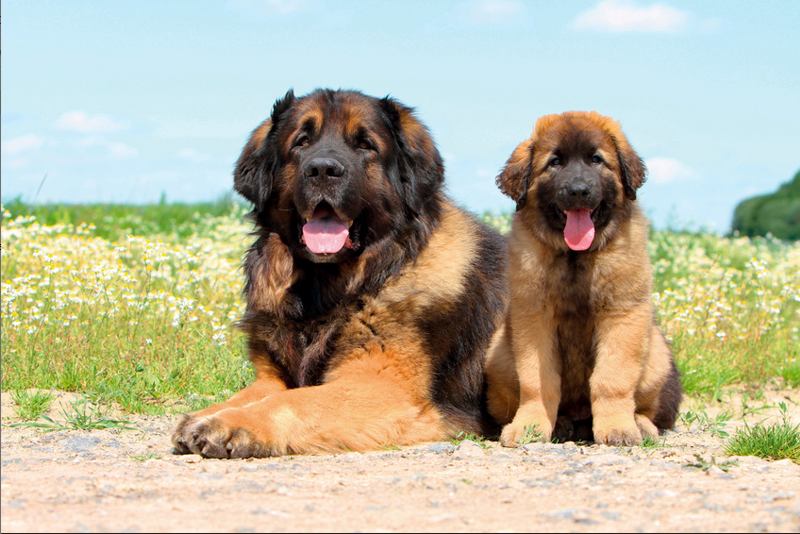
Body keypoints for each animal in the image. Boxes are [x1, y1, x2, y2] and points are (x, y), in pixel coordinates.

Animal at [171, 90, 506, 458]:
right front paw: (210, 414)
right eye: (302, 141)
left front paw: (229, 424)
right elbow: (253, 395)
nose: (323, 170)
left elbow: (294, 401)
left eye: (365, 145)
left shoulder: (382, 387)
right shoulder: (271, 377)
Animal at [488, 112, 680, 448]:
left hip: (656, 352)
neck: (576, 257)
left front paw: (617, 427)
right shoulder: (533, 318)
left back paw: (639, 423)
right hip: (498, 355)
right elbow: (537, 382)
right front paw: (529, 426)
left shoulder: (623, 315)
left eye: (596, 160)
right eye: (555, 162)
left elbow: (612, 379)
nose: (578, 190)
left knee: (645, 404)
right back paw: (561, 424)